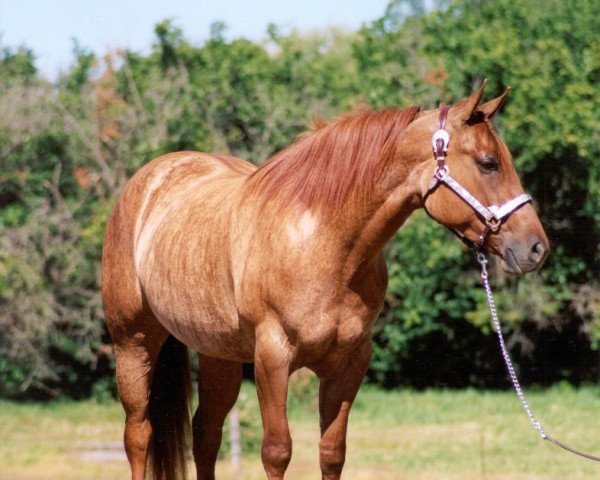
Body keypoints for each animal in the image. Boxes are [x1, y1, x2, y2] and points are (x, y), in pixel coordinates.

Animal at [102, 80, 548, 478]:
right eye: (488, 163)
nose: (537, 248)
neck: (323, 245)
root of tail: (149, 178)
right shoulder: (272, 357)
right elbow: (277, 452)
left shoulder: (349, 362)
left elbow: (332, 453)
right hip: (133, 344)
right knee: (138, 435)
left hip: (217, 354)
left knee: (205, 435)